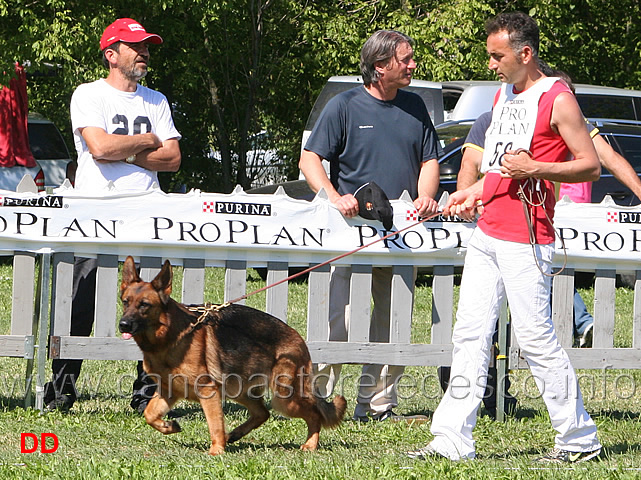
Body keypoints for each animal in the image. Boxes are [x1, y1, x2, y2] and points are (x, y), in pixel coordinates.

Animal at [119, 255, 344, 454]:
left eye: (144, 305)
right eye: (125, 302)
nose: (123, 324)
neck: (170, 336)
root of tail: (298, 338)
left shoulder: (208, 391)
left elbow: (215, 425)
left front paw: (216, 451)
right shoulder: (168, 391)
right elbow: (149, 414)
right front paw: (169, 426)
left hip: (284, 399)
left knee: (314, 414)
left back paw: (310, 445)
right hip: (240, 390)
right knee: (263, 413)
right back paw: (235, 434)